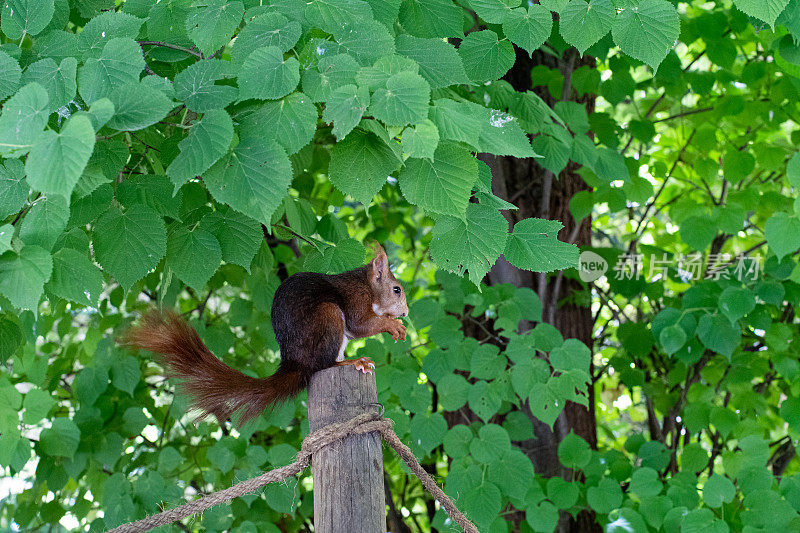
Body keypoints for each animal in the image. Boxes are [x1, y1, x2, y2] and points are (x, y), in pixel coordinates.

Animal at [125, 244, 412, 424]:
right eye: (396, 289)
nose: (407, 312)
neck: (366, 285)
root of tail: (295, 362)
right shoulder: (355, 299)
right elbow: (361, 324)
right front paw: (392, 325)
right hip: (328, 316)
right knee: (323, 364)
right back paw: (352, 362)